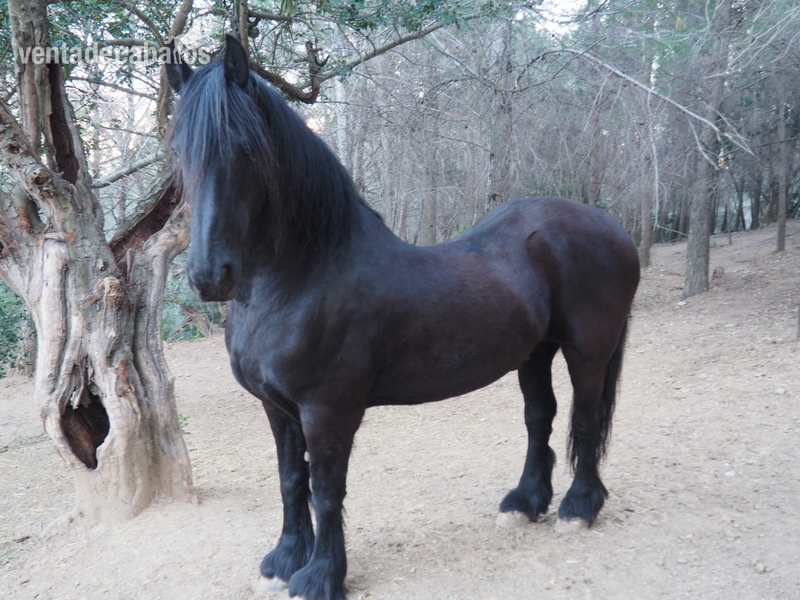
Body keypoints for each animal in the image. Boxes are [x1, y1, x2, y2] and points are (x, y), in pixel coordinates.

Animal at [165, 35, 640, 600]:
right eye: (179, 153)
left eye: (243, 148)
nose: (208, 275)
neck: (301, 277)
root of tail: (612, 227)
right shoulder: (278, 409)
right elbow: (290, 481)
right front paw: (284, 560)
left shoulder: (328, 411)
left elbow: (326, 489)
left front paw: (321, 576)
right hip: (534, 352)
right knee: (538, 417)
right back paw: (525, 503)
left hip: (588, 349)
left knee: (585, 419)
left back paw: (578, 508)